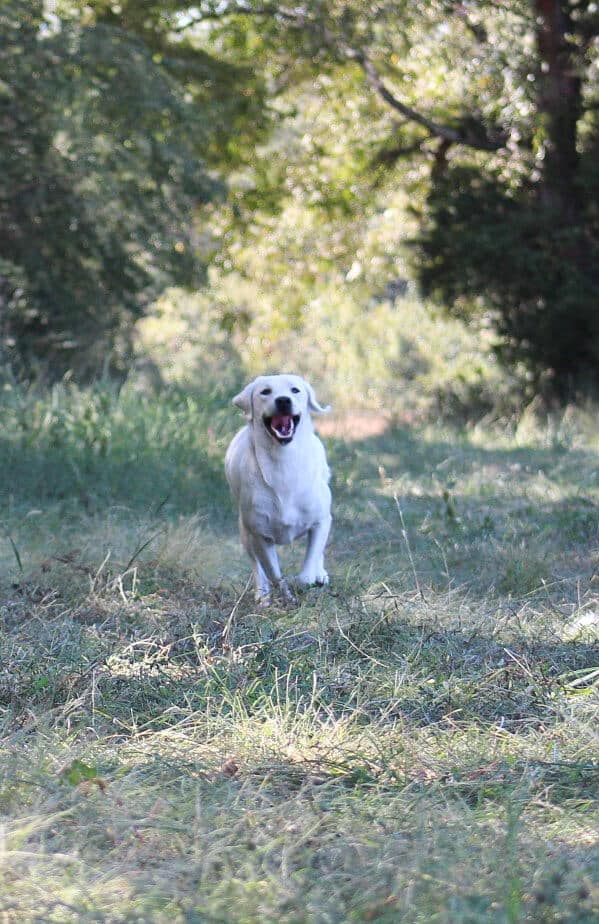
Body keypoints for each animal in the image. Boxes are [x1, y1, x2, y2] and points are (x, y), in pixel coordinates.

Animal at [227, 372, 336, 604]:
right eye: (265, 391)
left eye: (295, 390)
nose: (283, 400)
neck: (283, 463)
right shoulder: (260, 534)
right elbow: (273, 572)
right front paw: (286, 596)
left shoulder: (321, 521)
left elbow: (308, 567)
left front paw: (310, 579)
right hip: (244, 532)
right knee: (256, 566)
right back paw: (262, 595)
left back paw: (320, 575)